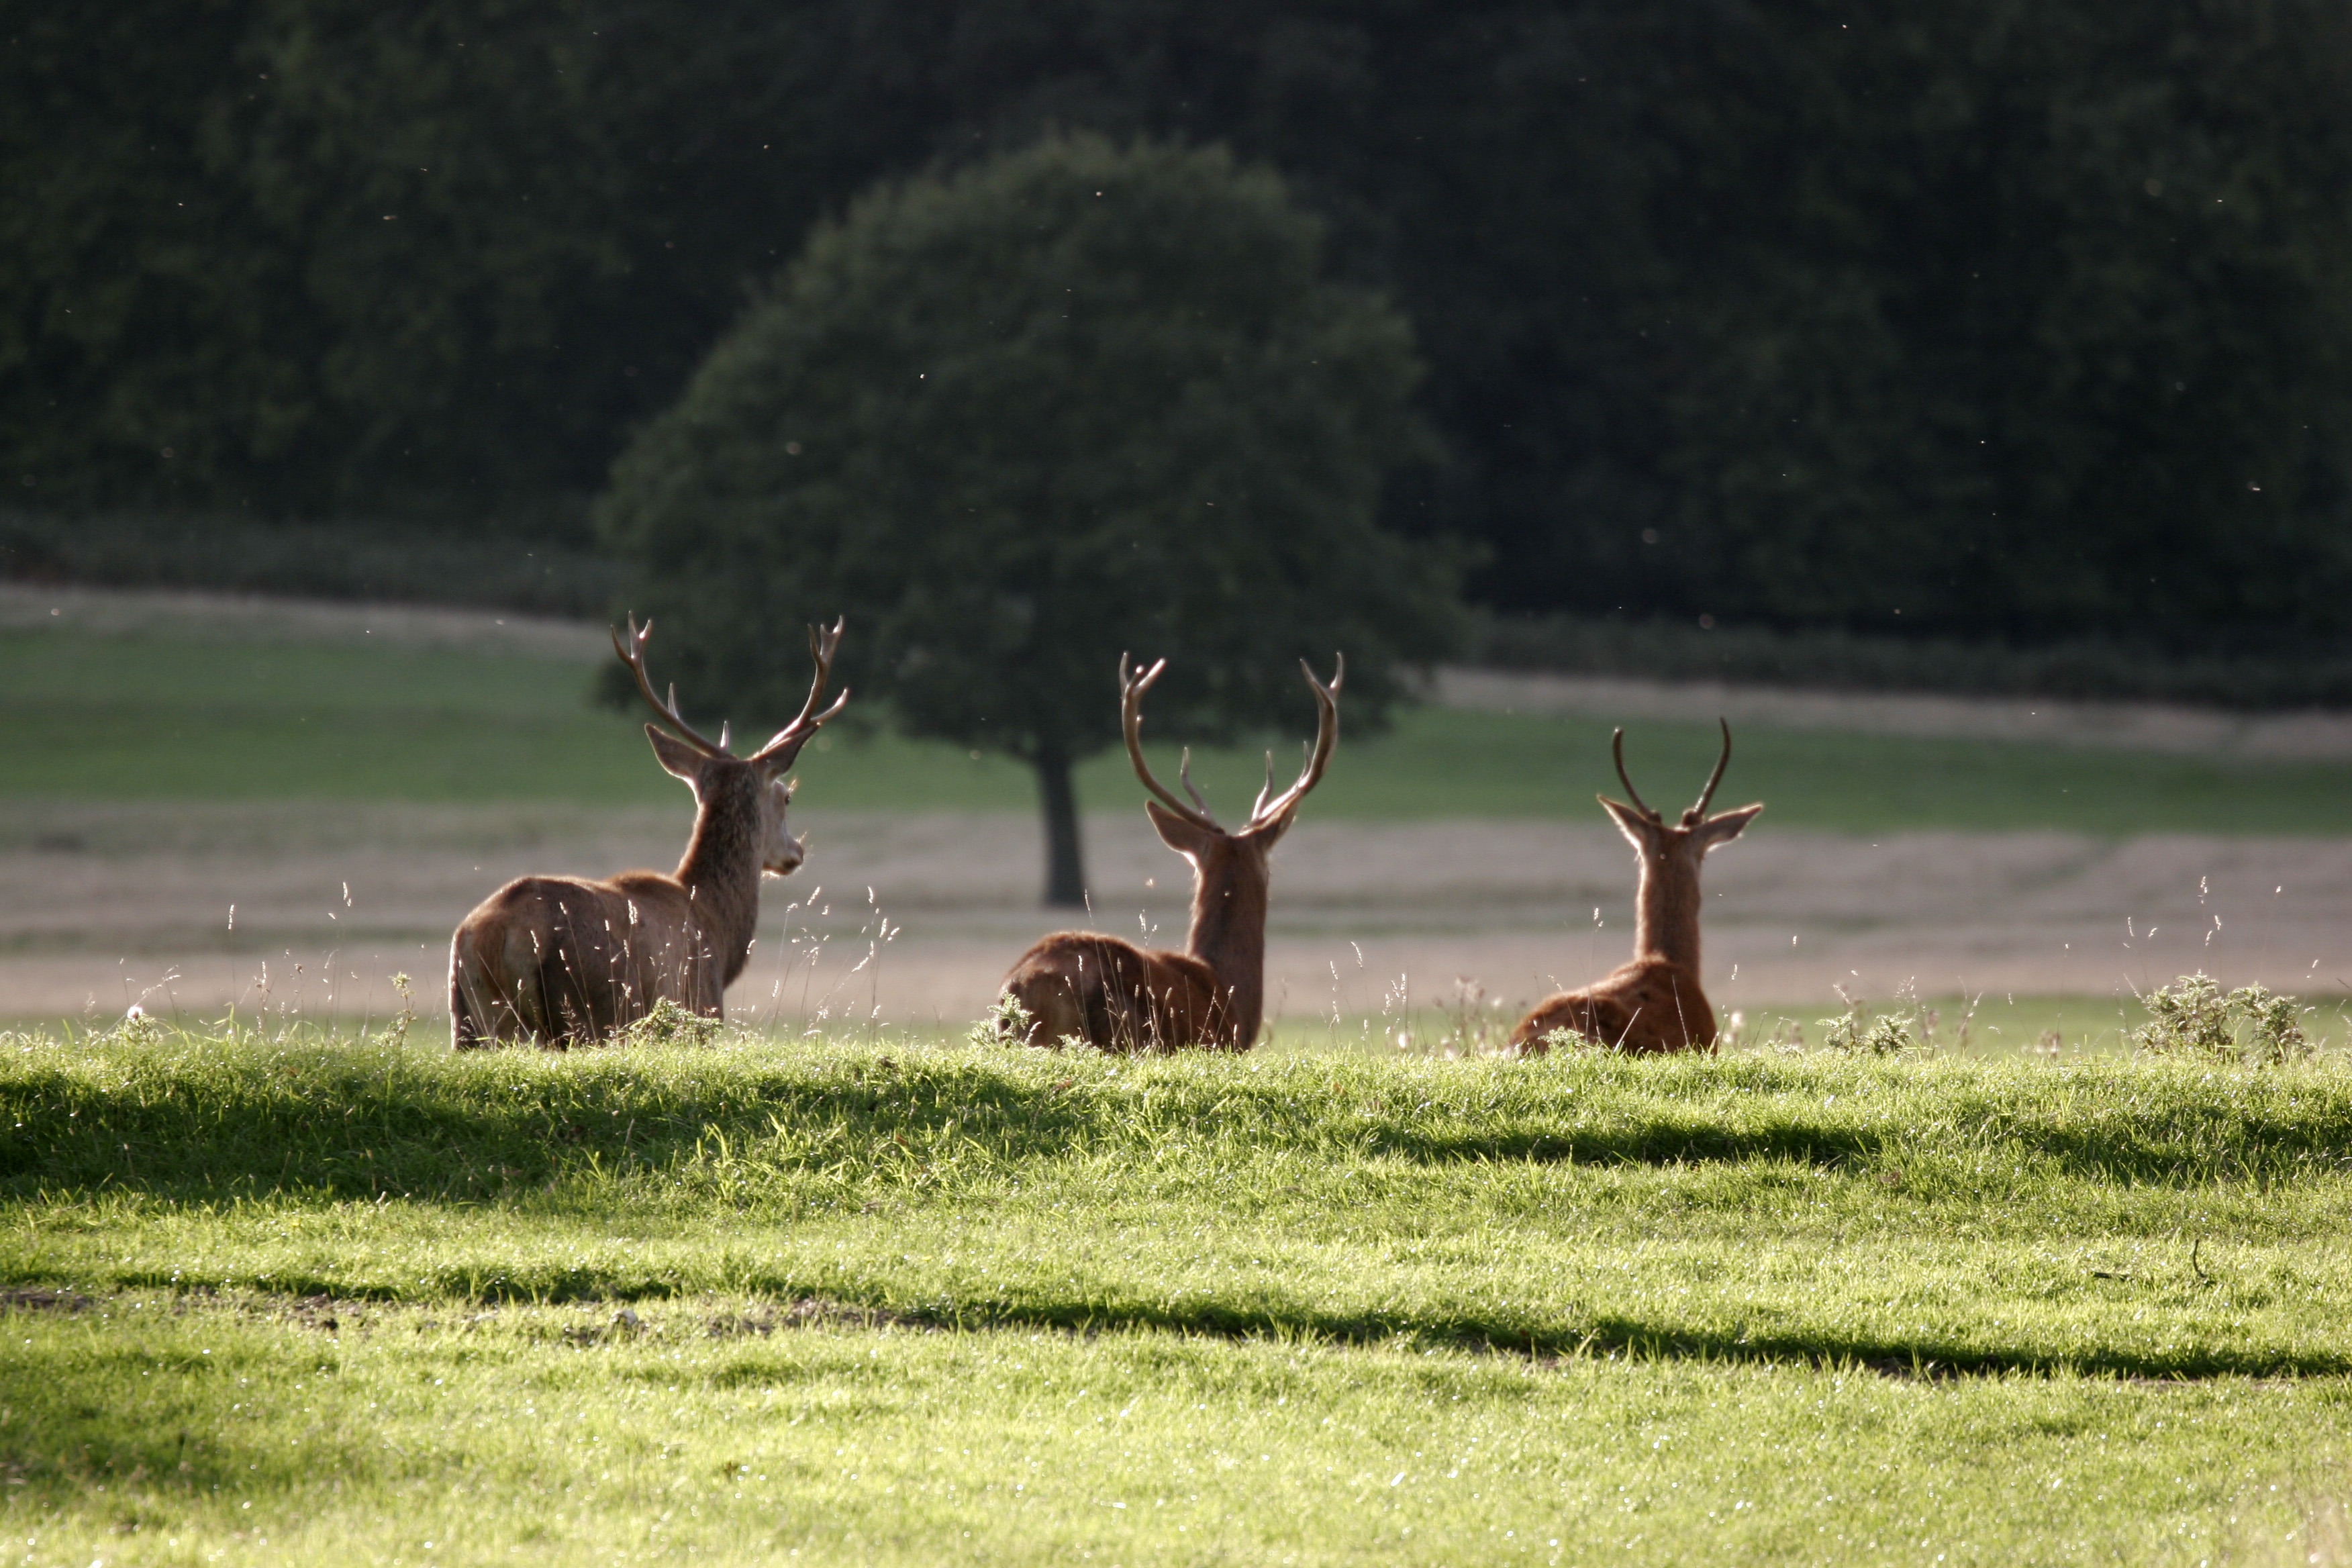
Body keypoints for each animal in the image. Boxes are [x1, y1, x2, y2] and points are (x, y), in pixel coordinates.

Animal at [446, 620, 846, 1048]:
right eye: (787, 796)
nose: (796, 851)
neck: (717, 928)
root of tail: (488, 937)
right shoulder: (697, 1012)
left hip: (467, 1020)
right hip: (576, 1014)